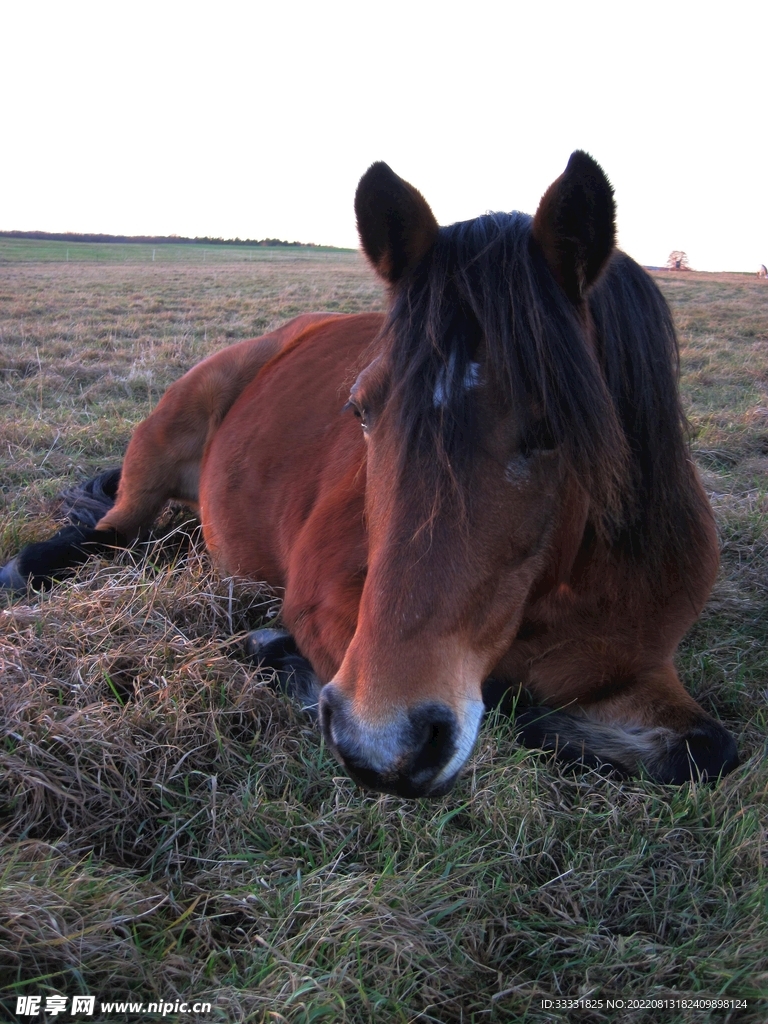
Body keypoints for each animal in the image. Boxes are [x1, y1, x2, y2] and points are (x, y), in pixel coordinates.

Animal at [1, 152, 739, 797]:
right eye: (361, 410)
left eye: (554, 426)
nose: (385, 741)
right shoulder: (326, 604)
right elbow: (502, 706)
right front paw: (275, 650)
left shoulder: (641, 666)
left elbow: (706, 751)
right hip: (161, 443)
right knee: (105, 534)